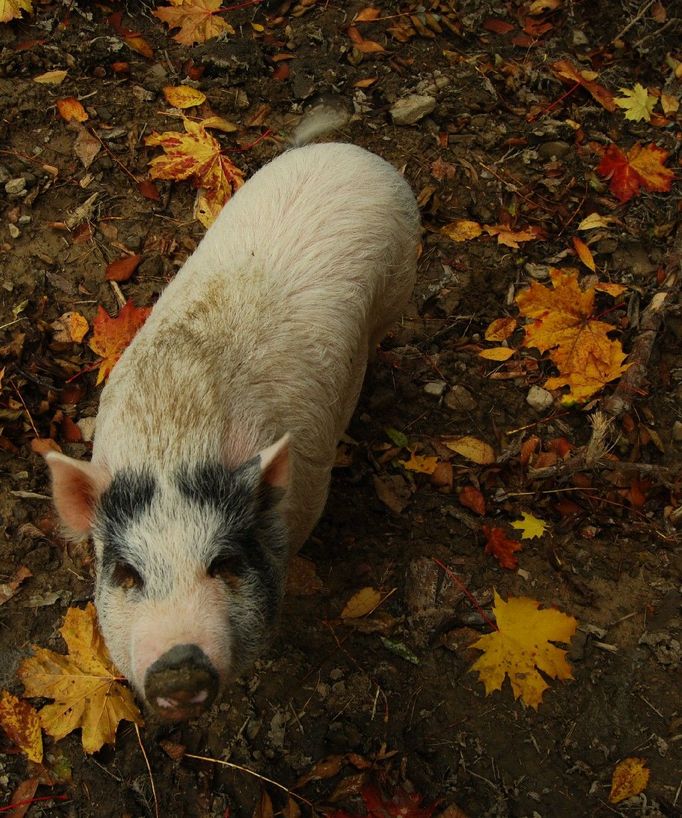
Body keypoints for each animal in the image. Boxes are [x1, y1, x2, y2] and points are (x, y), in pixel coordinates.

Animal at [43, 116, 420, 720]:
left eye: (223, 564)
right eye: (127, 574)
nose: (178, 670)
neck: (174, 446)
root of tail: (349, 150)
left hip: (401, 279)